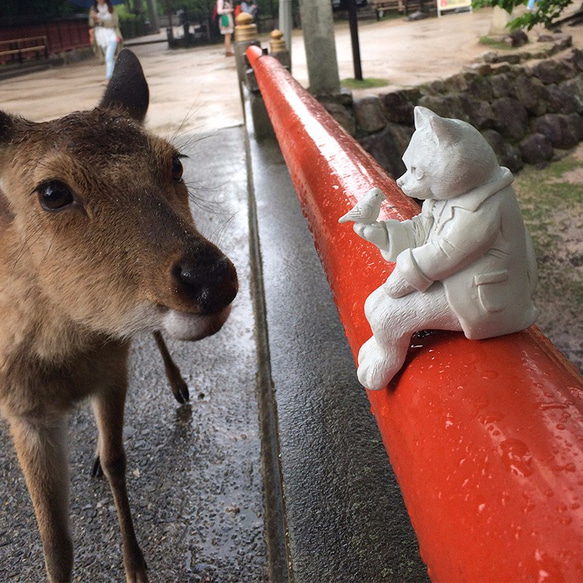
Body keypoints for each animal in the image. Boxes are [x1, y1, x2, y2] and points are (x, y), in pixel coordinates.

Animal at [0, 48, 240, 580]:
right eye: (51, 192)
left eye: (176, 163)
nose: (210, 277)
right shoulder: (21, 411)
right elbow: (53, 540)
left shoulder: (113, 369)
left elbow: (116, 461)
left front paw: (137, 568)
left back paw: (178, 387)